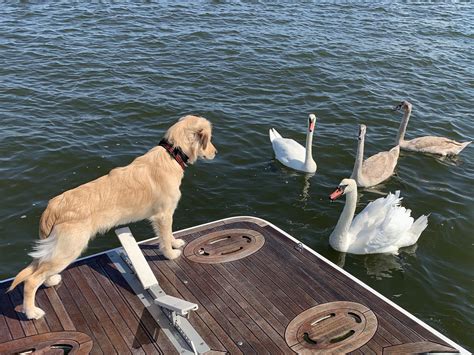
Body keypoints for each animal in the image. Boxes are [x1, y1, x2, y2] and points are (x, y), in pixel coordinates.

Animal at [7, 116, 218, 320]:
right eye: (209, 140)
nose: (216, 152)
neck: (172, 155)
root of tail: (52, 207)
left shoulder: (166, 215)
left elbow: (170, 234)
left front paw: (175, 243)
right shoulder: (163, 215)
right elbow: (165, 237)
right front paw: (170, 253)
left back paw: (51, 281)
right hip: (69, 248)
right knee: (31, 280)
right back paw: (32, 313)